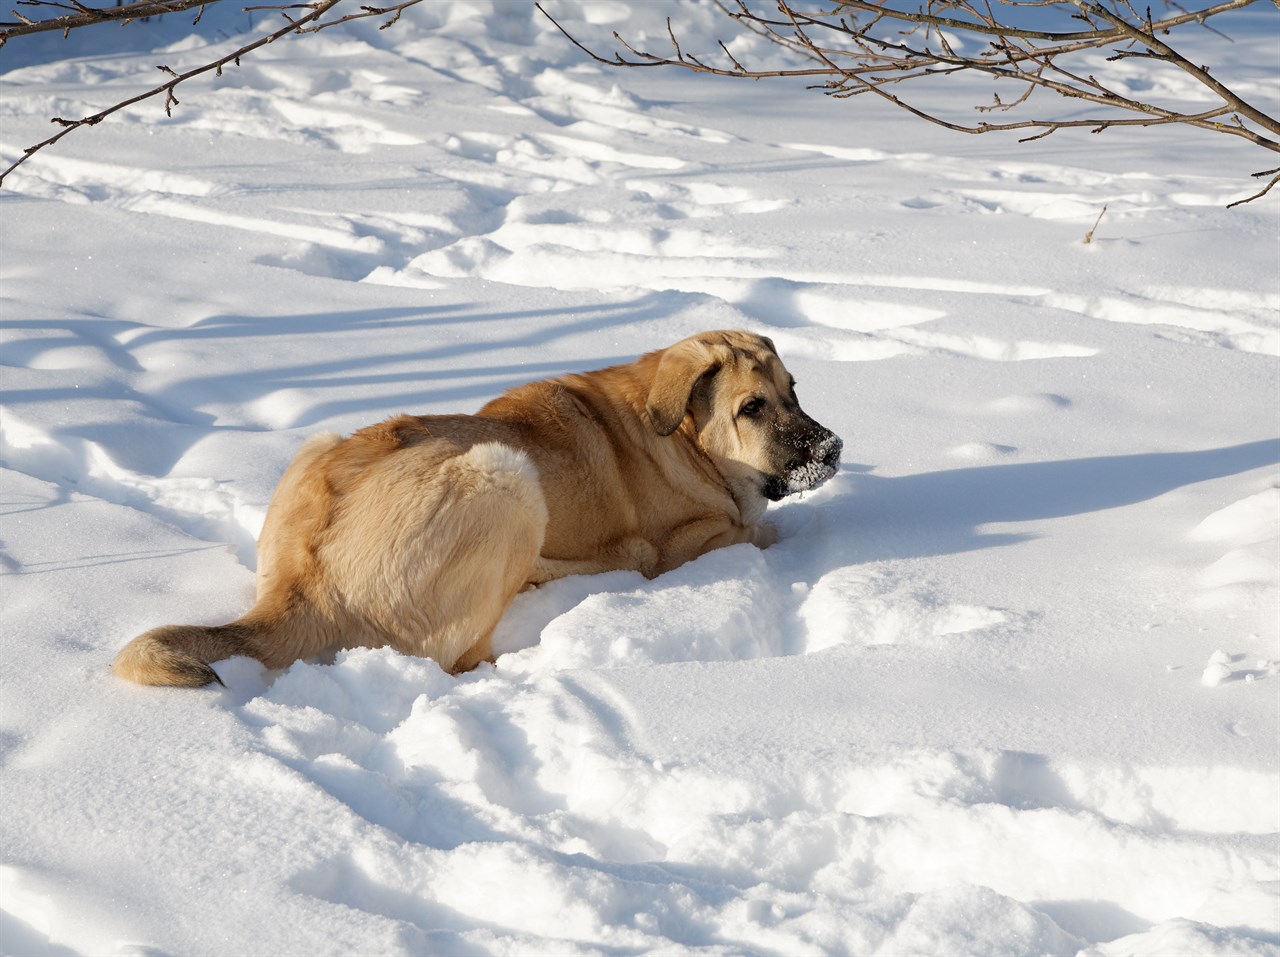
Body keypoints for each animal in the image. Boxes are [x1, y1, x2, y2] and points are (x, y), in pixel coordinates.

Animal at [115, 332, 844, 685]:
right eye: (752, 407)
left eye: (795, 390)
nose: (834, 447)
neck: (685, 440)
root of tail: (301, 587)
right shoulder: (698, 539)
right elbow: (753, 533)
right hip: (504, 475)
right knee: (462, 656)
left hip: (322, 444)